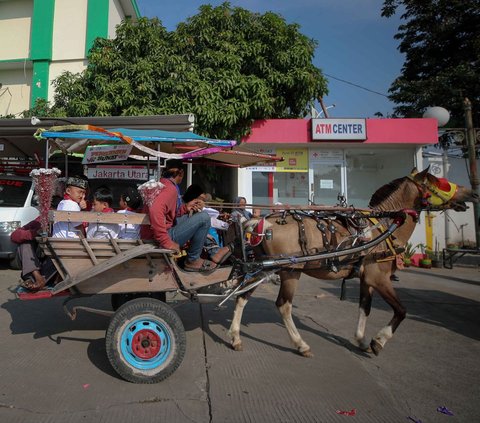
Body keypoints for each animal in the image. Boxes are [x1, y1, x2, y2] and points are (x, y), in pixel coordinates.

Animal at [229, 169, 480, 358]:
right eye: (441, 182)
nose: (473, 193)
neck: (383, 226)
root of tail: (261, 222)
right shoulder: (379, 277)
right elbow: (401, 310)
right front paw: (378, 341)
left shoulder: (366, 278)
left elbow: (365, 307)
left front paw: (361, 340)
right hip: (290, 271)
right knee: (283, 305)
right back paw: (301, 344)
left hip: (262, 269)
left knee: (242, 297)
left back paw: (235, 337)